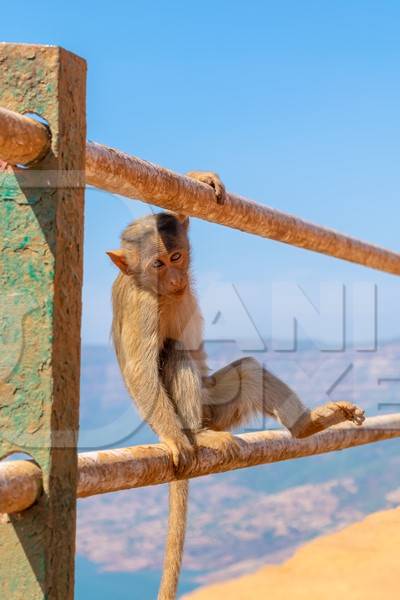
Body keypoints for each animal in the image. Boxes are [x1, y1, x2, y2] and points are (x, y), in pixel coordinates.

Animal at [107, 171, 366, 596]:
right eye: (157, 264)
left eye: (176, 258)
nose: (176, 278)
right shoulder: (139, 303)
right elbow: (140, 368)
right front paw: (173, 438)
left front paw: (198, 181)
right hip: (200, 412)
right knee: (175, 354)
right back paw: (196, 435)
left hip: (218, 403)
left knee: (247, 370)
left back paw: (307, 425)